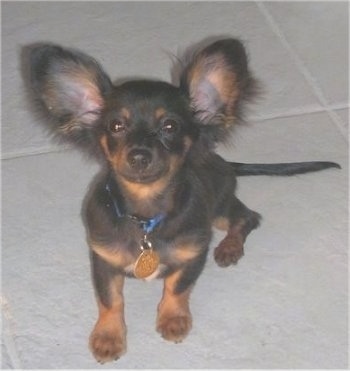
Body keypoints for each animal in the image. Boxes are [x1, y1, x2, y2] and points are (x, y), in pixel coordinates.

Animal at [27, 38, 340, 364]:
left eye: (169, 126)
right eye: (116, 126)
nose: (139, 155)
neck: (146, 218)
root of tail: (224, 163)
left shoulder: (194, 253)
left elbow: (177, 288)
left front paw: (173, 320)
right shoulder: (103, 259)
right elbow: (110, 300)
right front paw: (108, 337)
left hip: (220, 210)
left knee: (248, 217)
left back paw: (229, 247)